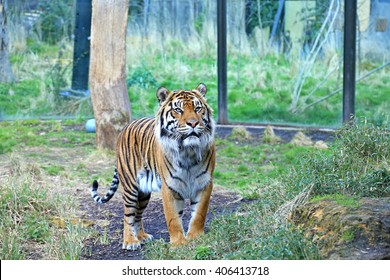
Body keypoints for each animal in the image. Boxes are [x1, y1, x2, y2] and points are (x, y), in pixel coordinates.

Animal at [91, 82, 215, 249]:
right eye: (178, 110)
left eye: (197, 108)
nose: (193, 123)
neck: (188, 150)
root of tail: (125, 127)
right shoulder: (169, 186)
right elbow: (173, 218)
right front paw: (179, 243)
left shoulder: (204, 184)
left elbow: (199, 214)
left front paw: (196, 238)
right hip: (130, 186)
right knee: (128, 214)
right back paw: (130, 241)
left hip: (143, 193)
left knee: (138, 214)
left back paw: (142, 237)